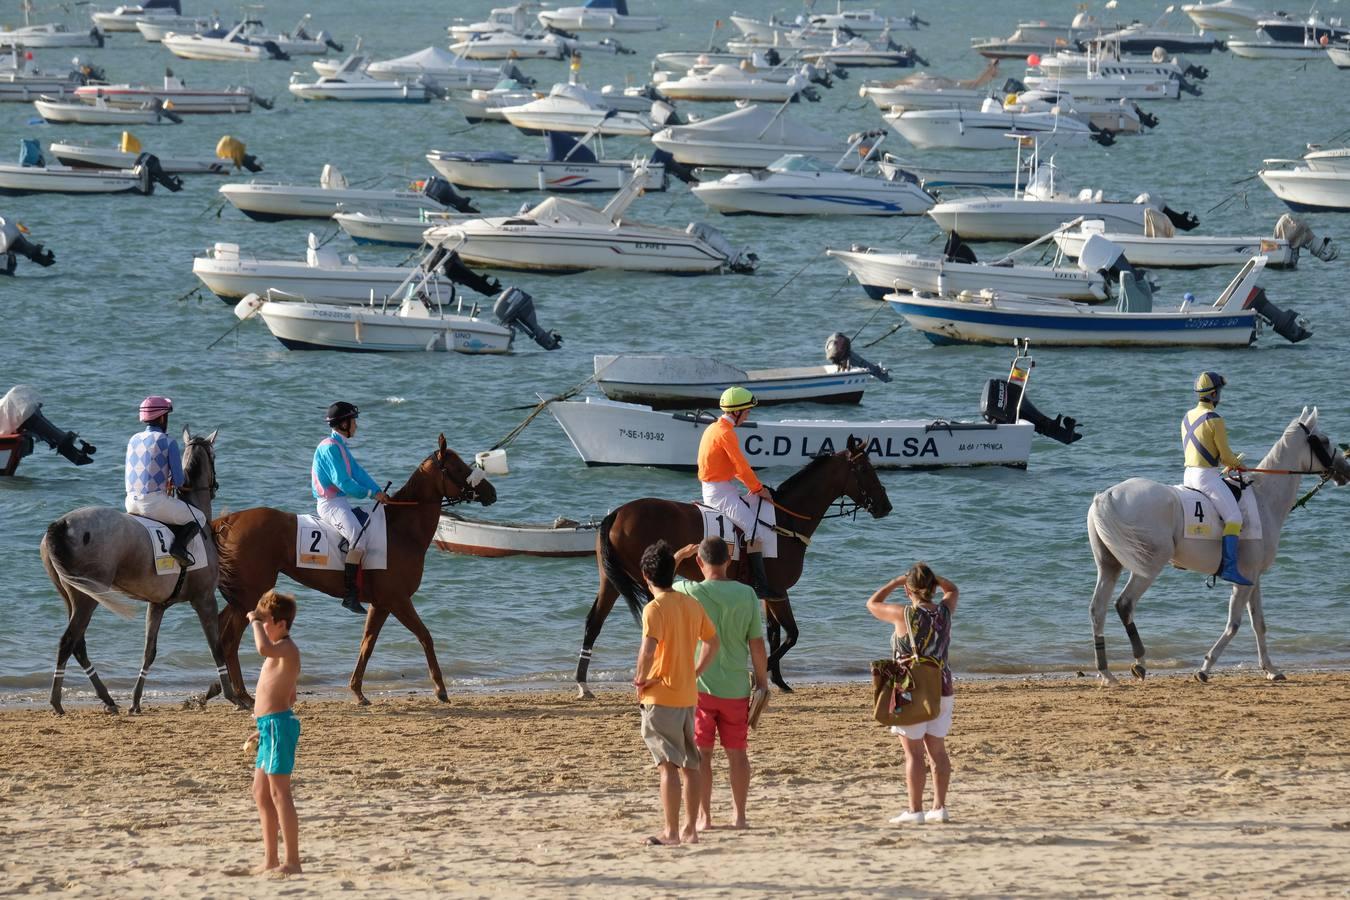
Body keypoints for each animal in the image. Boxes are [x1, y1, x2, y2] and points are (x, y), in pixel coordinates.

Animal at [38, 429, 238, 717]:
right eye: (214, 455)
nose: (215, 488)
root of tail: (61, 524)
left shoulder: (157, 604)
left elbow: (149, 652)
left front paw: (135, 701)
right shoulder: (204, 599)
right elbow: (216, 646)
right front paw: (235, 697)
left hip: (70, 594)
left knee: (78, 644)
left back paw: (108, 699)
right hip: (87, 597)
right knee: (68, 642)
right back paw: (57, 701)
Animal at [205, 434, 491, 701]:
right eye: (459, 467)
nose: (492, 492)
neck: (400, 531)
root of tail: (229, 520)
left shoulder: (381, 604)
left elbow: (367, 644)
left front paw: (357, 690)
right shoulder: (397, 600)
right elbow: (425, 636)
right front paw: (440, 689)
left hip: (243, 595)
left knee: (220, 631)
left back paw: (221, 689)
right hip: (250, 595)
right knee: (229, 640)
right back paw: (241, 695)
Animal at [575, 439, 891, 701]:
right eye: (865, 468)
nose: (885, 506)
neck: (784, 520)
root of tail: (617, 513)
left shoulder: (769, 594)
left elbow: (773, 634)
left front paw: (778, 681)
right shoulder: (779, 592)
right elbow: (791, 634)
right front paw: (756, 675)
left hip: (610, 581)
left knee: (593, 623)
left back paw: (583, 684)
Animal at [1085, 412, 1350, 685]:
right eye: (1324, 440)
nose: (1345, 467)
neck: (1263, 499)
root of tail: (1107, 496)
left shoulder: (1253, 578)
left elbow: (1259, 623)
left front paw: (1270, 668)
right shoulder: (1245, 579)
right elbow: (1234, 624)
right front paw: (1205, 667)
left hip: (1109, 566)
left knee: (1098, 609)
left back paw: (1106, 673)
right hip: (1147, 566)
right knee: (1124, 604)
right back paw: (1139, 662)